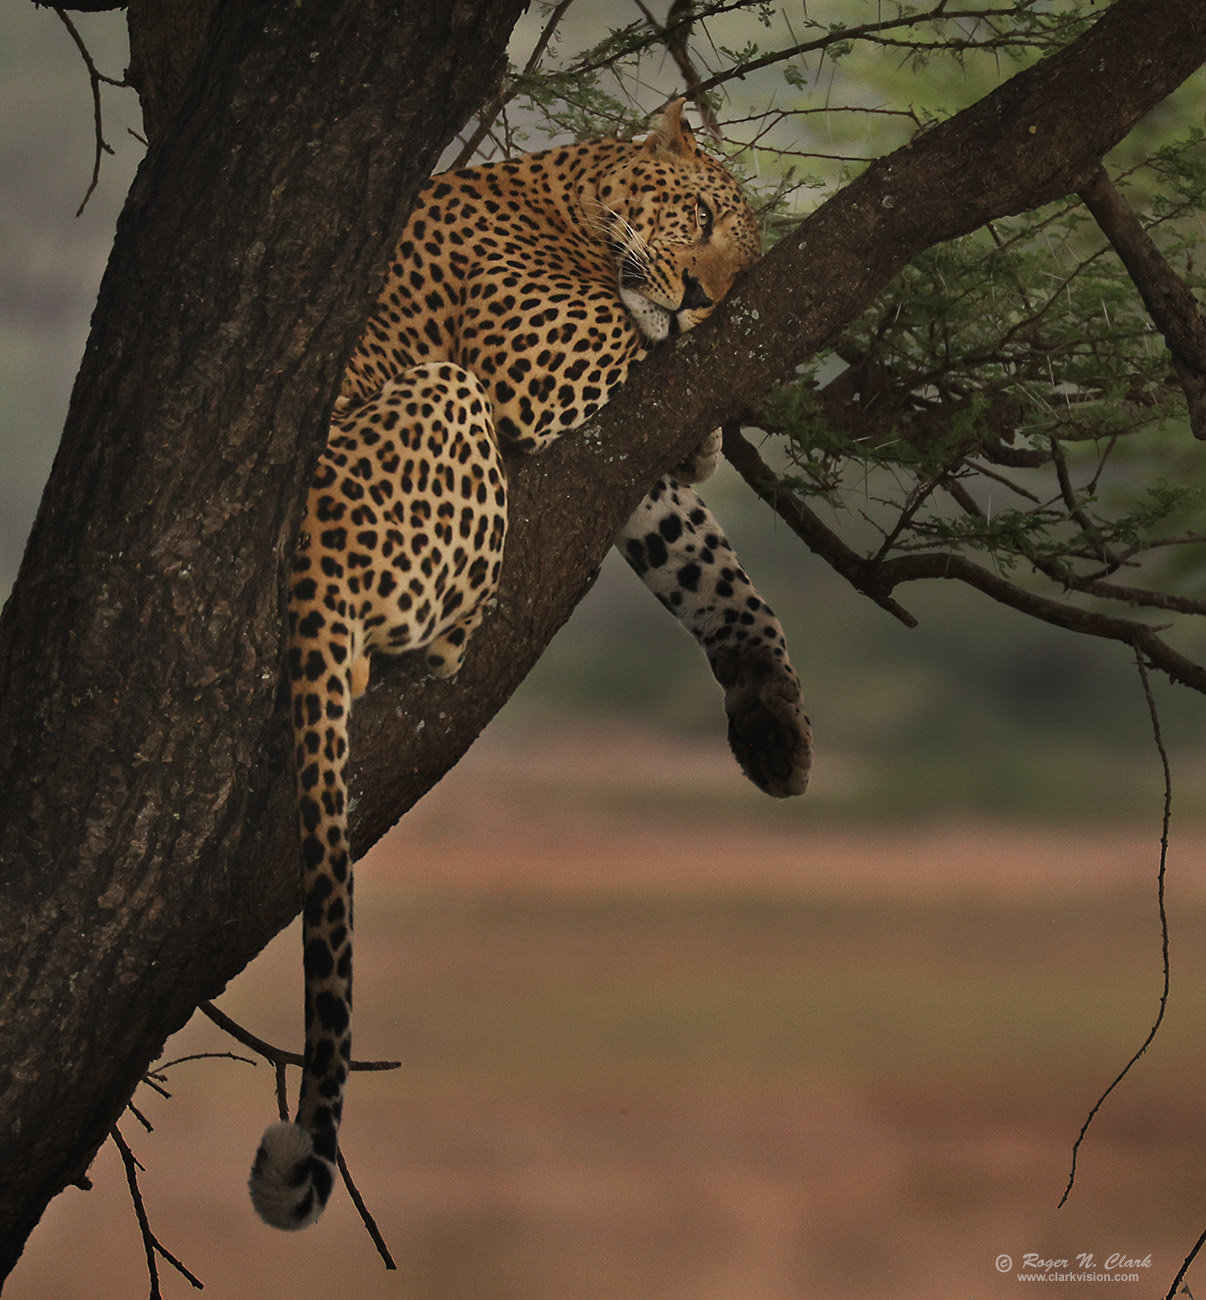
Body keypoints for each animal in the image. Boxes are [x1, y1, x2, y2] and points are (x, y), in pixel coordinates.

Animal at [246, 98, 810, 1227]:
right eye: (702, 219)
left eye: (742, 267)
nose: (704, 301)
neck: (567, 196)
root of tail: (306, 578)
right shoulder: (548, 364)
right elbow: (657, 381)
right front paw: (708, 434)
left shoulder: (623, 464)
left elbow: (707, 561)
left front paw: (768, 702)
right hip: (450, 391)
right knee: (415, 640)